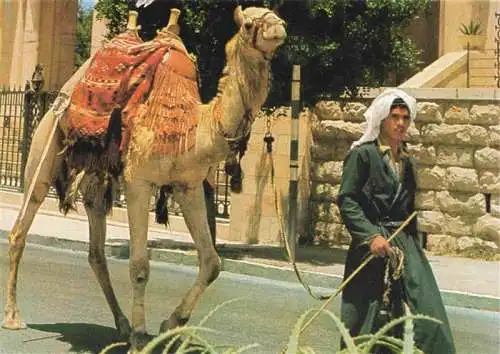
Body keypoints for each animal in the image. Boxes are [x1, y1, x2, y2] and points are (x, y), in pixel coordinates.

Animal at [0, 4, 286, 352]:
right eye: (248, 23)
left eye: (273, 13)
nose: (279, 27)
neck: (194, 127)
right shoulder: (139, 182)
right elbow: (139, 266)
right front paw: (141, 337)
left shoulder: (188, 186)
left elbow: (212, 263)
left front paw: (169, 325)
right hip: (46, 145)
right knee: (21, 226)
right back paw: (14, 316)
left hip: (96, 178)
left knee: (96, 249)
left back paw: (121, 323)